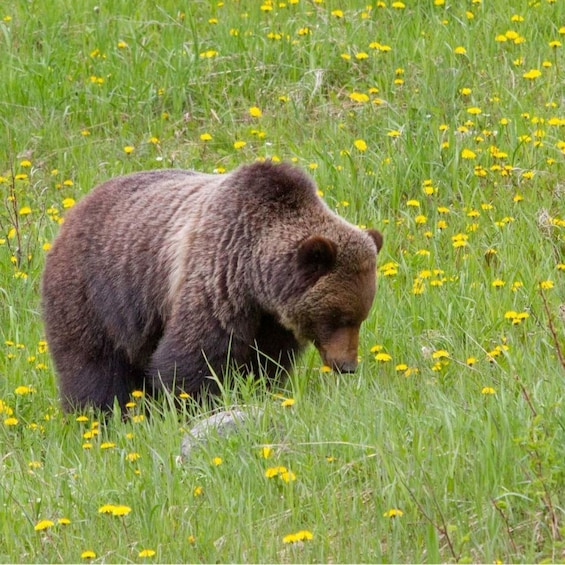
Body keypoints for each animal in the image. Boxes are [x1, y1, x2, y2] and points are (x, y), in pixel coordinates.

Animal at [40, 161, 384, 412]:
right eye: (338, 318)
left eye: (361, 317)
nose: (347, 365)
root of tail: (72, 212)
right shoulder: (216, 278)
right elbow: (194, 355)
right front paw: (194, 404)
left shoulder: (270, 319)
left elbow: (267, 361)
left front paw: (258, 390)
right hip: (95, 293)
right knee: (94, 365)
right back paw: (100, 415)